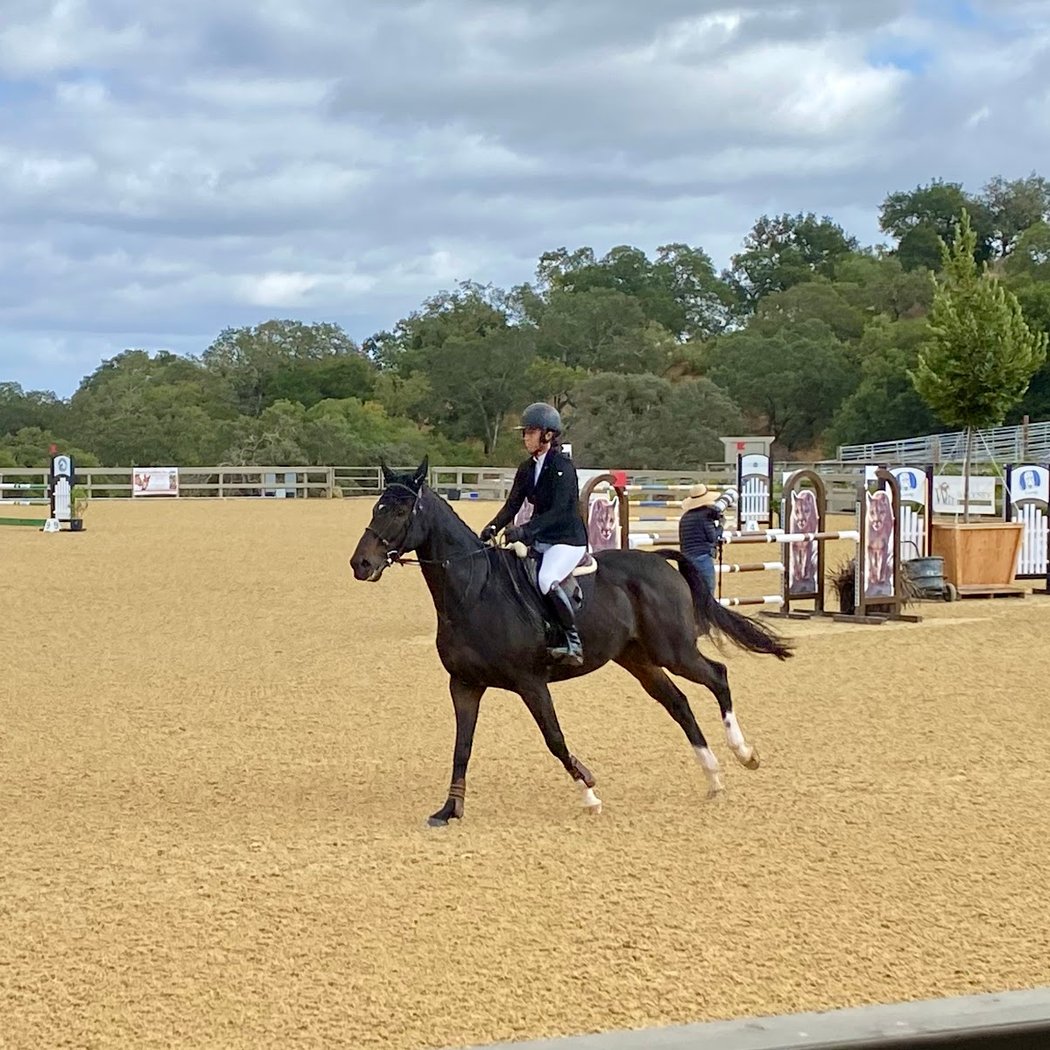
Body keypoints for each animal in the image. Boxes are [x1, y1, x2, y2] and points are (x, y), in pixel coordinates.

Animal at [349, 458, 793, 826]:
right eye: (375, 508)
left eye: (401, 511)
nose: (360, 564)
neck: (473, 591)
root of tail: (657, 559)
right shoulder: (464, 685)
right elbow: (462, 746)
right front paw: (449, 809)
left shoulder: (530, 682)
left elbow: (554, 738)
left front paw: (590, 793)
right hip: (637, 659)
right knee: (678, 703)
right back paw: (714, 776)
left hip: (674, 650)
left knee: (717, 676)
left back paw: (744, 753)